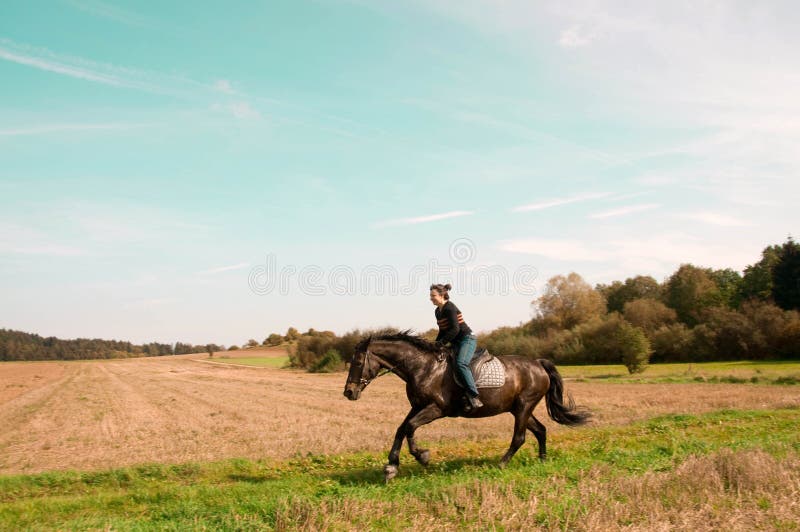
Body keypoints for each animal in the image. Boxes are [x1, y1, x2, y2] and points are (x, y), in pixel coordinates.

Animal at [340, 332, 592, 482]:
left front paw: (422, 456)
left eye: (358, 362)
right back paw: (542, 460)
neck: (422, 367)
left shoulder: (436, 409)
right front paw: (391, 466)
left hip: (524, 406)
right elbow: (401, 429)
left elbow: (410, 427)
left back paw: (501, 464)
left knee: (519, 437)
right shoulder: (418, 406)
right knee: (540, 430)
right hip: (519, 408)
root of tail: (538, 364)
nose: (349, 392)